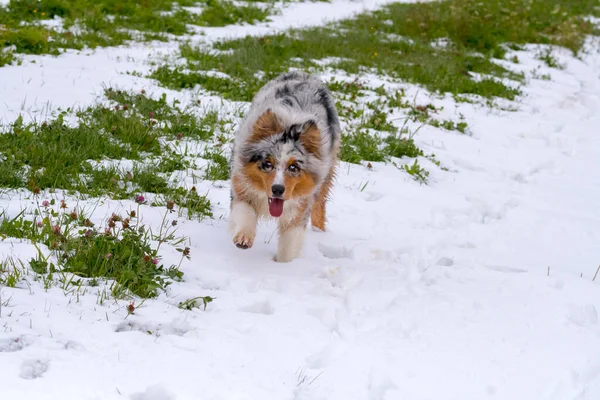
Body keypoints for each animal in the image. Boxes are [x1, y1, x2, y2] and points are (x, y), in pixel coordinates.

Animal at [227, 71, 340, 262]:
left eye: (294, 167)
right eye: (267, 163)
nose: (278, 189)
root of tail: (304, 74)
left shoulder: (299, 208)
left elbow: (289, 243)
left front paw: (282, 266)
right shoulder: (242, 187)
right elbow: (245, 213)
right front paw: (243, 239)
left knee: (320, 204)